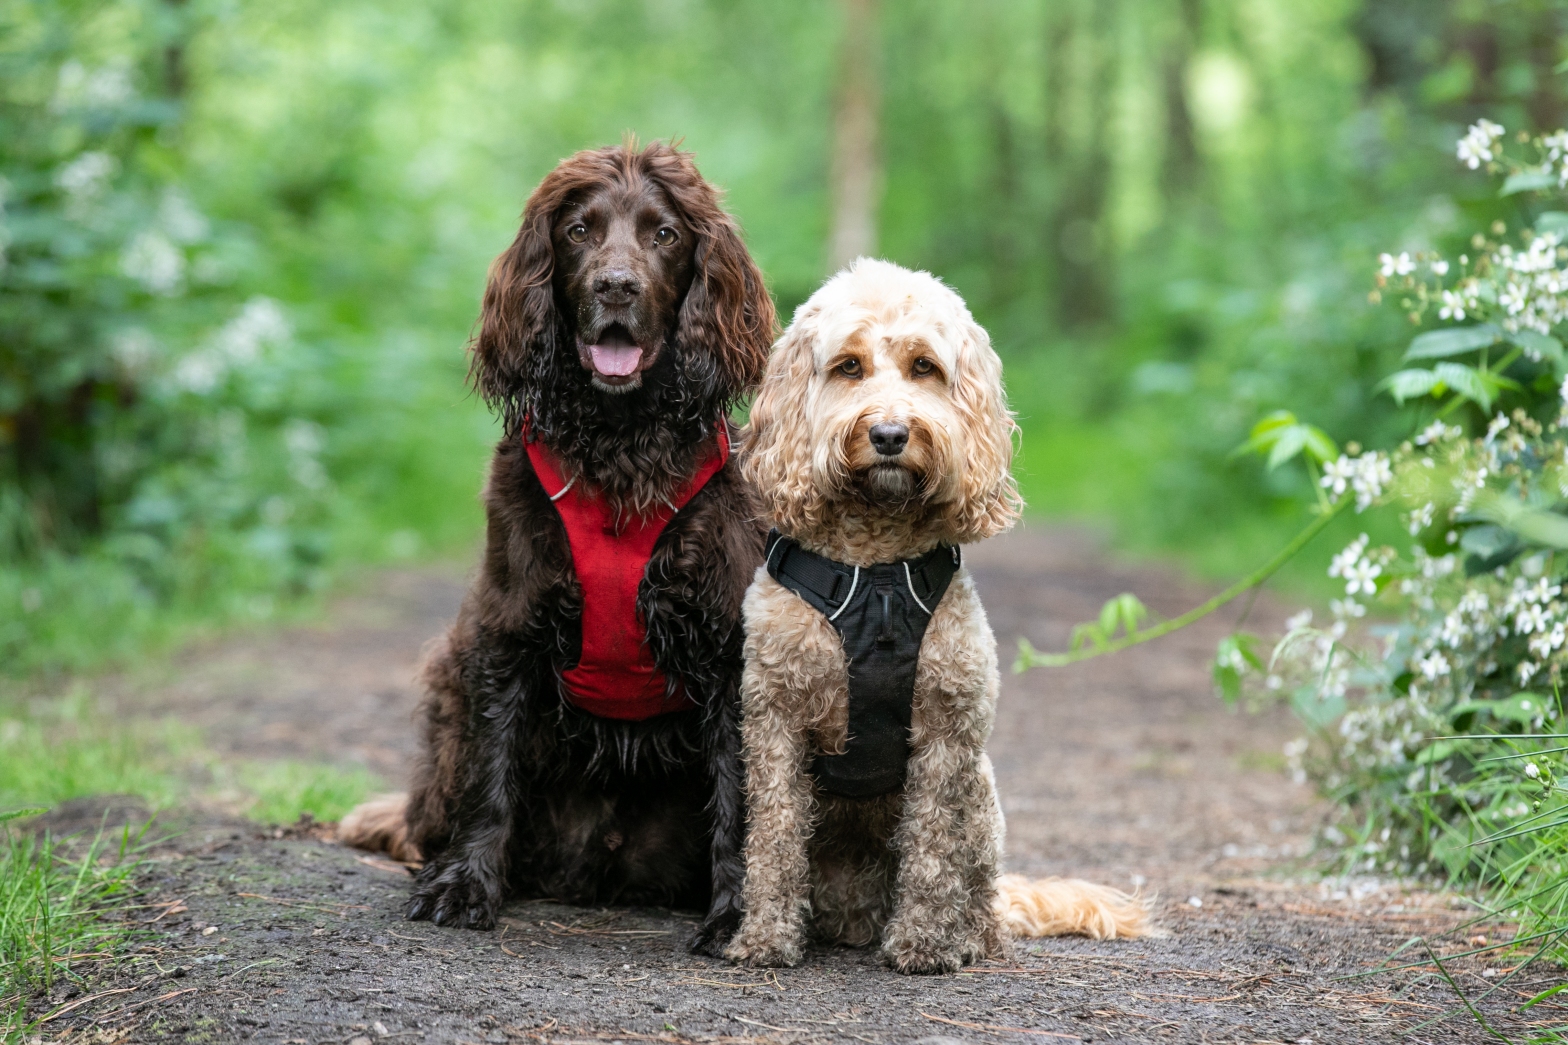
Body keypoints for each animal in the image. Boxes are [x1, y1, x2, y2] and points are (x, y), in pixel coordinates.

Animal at [346, 140, 780, 953]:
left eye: (664, 234)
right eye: (579, 231)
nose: (616, 287)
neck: (620, 448)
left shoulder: (726, 643)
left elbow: (741, 795)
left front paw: (739, 916)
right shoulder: (509, 626)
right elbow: (491, 773)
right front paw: (464, 886)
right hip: (447, 682)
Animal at [724, 258, 1154, 966]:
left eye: (924, 366)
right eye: (848, 366)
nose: (890, 434)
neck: (877, 577)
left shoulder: (946, 731)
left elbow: (931, 850)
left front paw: (924, 944)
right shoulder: (774, 721)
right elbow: (775, 837)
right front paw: (764, 936)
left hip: (982, 796)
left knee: (975, 889)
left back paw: (971, 937)